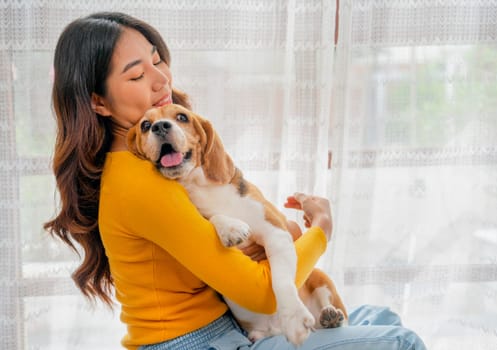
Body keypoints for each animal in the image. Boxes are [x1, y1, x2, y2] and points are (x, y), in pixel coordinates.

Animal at [127, 103, 344, 344]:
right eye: (145, 125)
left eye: (182, 117)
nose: (159, 127)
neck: (200, 185)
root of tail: (273, 330)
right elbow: (214, 217)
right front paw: (231, 228)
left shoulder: (275, 232)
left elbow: (281, 280)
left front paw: (294, 319)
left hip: (320, 276)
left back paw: (330, 315)